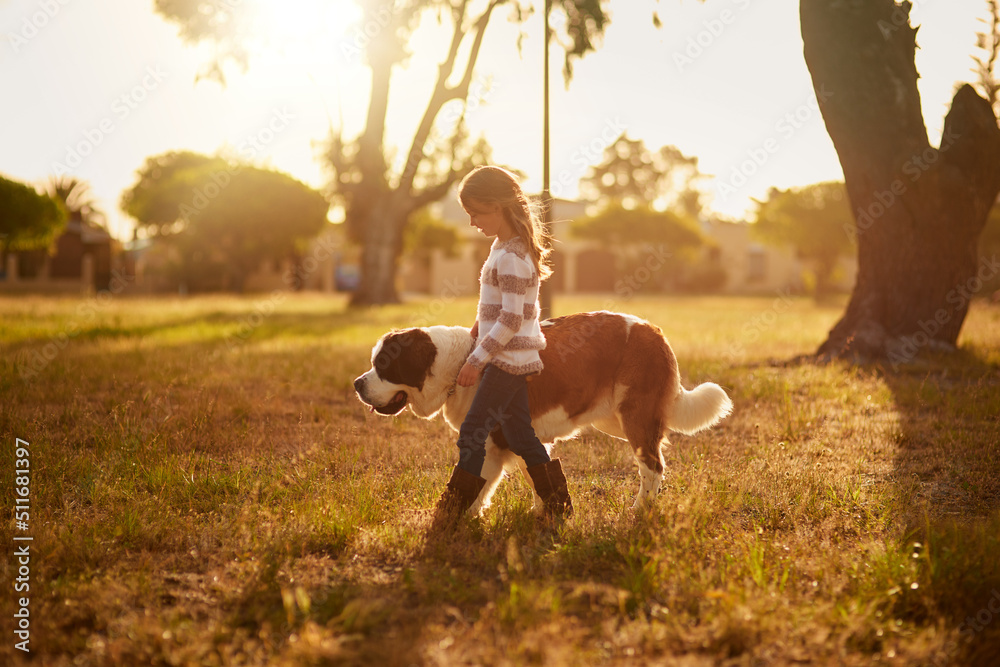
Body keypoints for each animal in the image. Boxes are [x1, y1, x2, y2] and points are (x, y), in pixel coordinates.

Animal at [356, 310, 732, 516]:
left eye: (384, 365)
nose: (358, 384)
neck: (461, 362)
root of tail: (654, 330)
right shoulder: (525, 436)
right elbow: (537, 473)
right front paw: (545, 512)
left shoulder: (488, 443)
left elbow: (478, 483)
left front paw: (457, 519)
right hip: (615, 418)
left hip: (634, 416)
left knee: (652, 466)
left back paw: (641, 509)